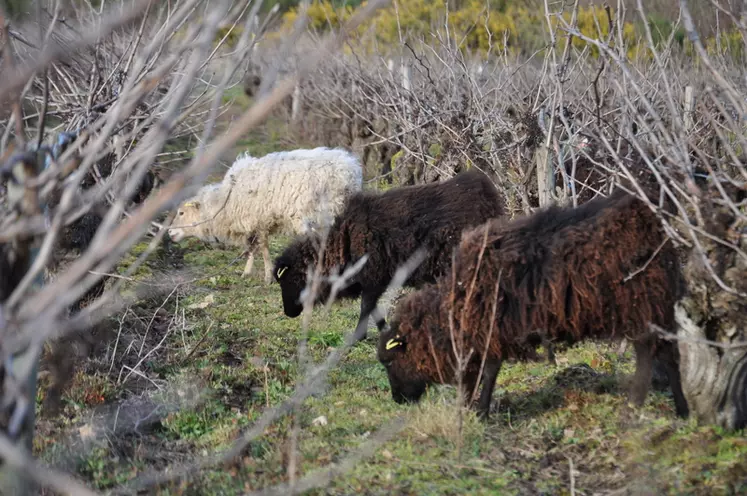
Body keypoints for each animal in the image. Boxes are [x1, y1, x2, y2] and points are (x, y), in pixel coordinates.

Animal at [172, 147, 366, 282]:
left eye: (181, 212)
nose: (170, 232)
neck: (225, 203)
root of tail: (350, 170)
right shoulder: (254, 224)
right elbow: (251, 248)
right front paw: (247, 272)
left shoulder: (258, 220)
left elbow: (263, 248)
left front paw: (267, 276)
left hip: (321, 212)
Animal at [272, 170, 506, 340]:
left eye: (290, 279)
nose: (288, 313)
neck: (342, 242)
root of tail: (490, 199)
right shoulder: (375, 280)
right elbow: (373, 309)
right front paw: (386, 332)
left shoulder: (373, 277)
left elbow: (366, 307)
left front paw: (358, 337)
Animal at [380, 189, 688, 418]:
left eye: (390, 361)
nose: (397, 400)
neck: (456, 304)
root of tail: (648, 220)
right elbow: (475, 375)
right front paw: (468, 408)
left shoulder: (491, 332)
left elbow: (487, 373)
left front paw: (479, 411)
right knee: (653, 354)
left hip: (649, 304)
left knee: (665, 357)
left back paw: (678, 409)